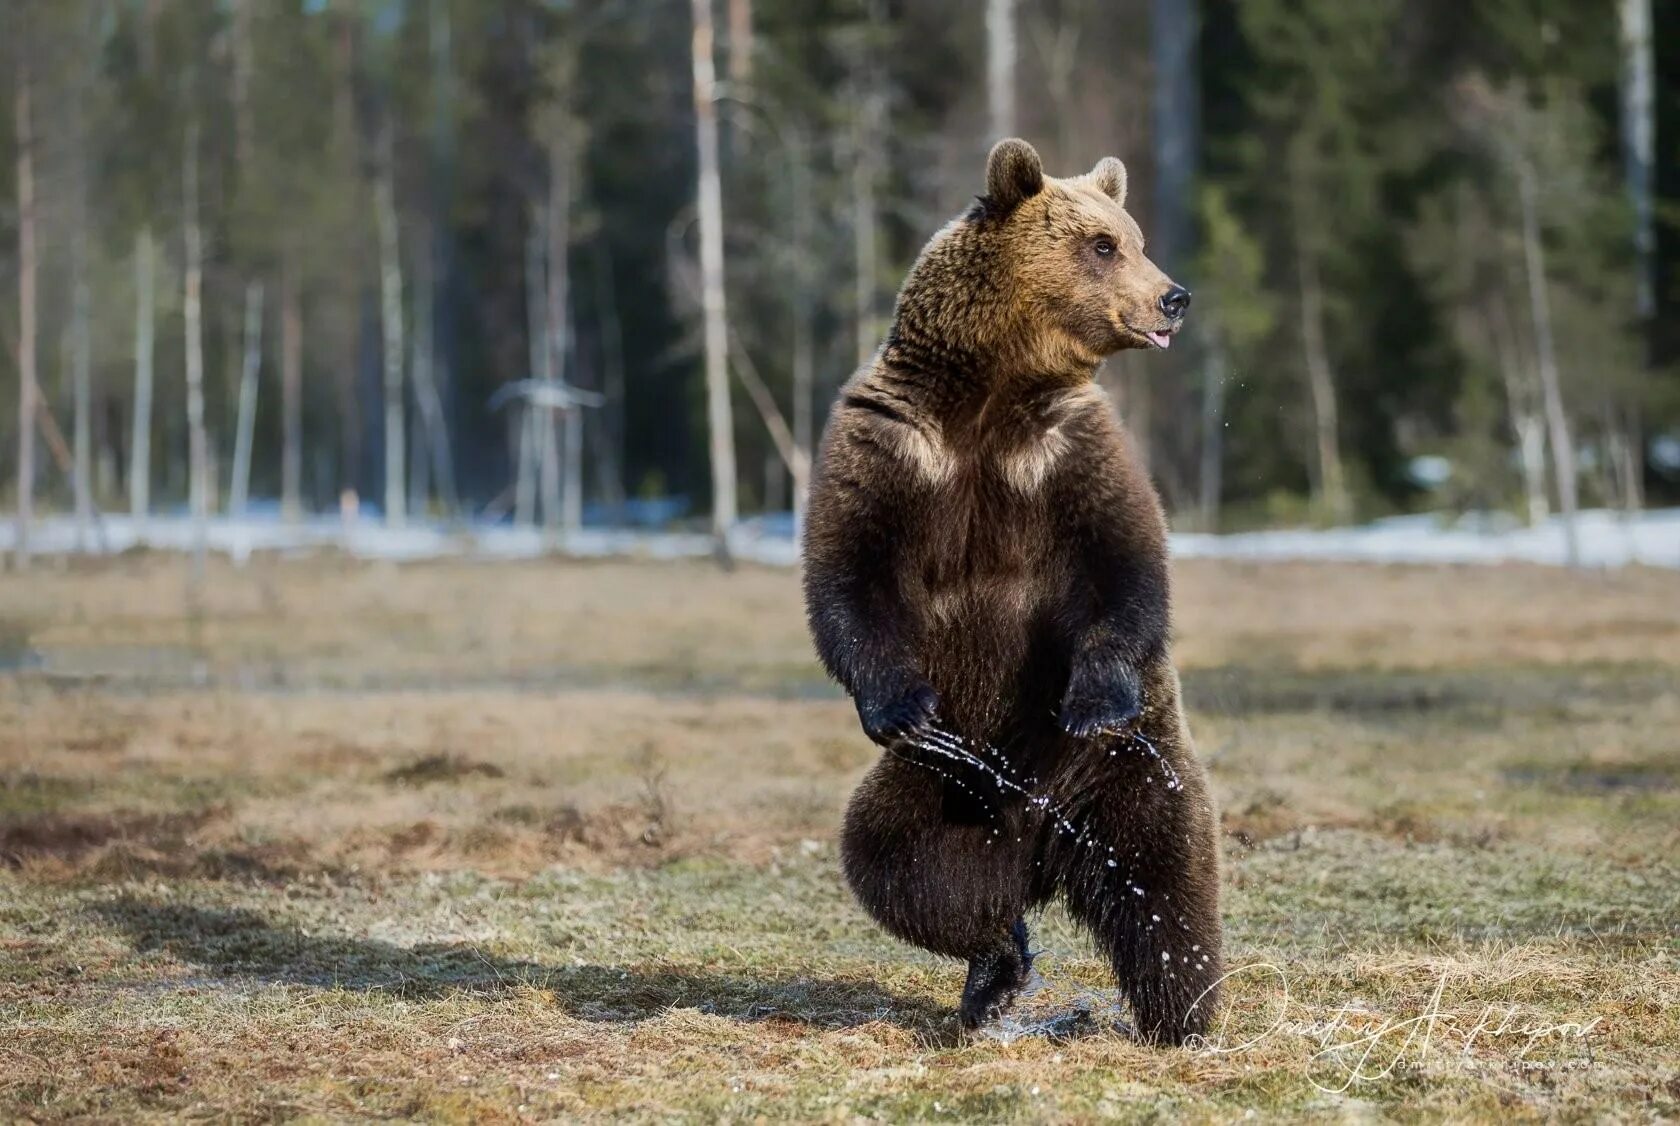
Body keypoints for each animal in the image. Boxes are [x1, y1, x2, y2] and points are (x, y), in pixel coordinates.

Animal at [799, 136, 1223, 1048]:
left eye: (1132, 237)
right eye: (1103, 244)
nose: (1173, 296)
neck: (989, 397)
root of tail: (1041, 839)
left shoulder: (1070, 449)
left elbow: (1126, 562)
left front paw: (1092, 695)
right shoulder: (892, 443)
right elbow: (848, 577)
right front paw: (900, 704)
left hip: (1130, 770)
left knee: (1168, 882)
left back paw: (1183, 1016)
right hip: (948, 790)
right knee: (901, 865)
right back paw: (999, 967)